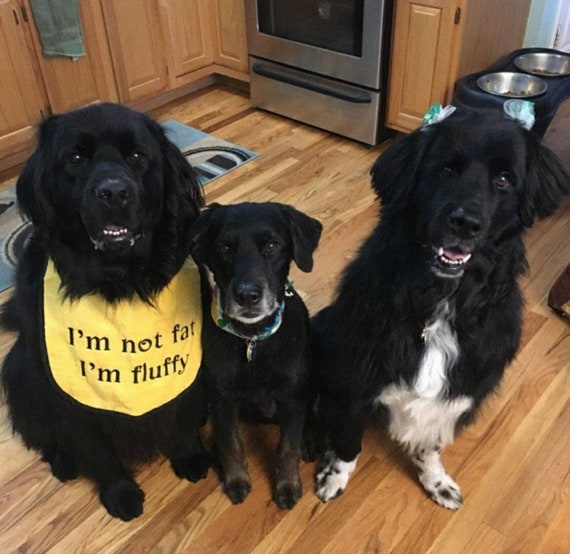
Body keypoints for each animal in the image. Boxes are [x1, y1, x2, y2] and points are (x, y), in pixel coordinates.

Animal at [1, 102, 210, 516]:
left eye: (137, 156)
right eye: (76, 158)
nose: (113, 192)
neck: (119, 283)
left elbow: (181, 417)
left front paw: (189, 456)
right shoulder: (70, 393)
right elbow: (98, 449)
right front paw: (119, 492)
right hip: (19, 370)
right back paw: (63, 460)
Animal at [191, 202, 322, 508]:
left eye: (272, 245)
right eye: (224, 247)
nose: (247, 296)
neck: (252, 340)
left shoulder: (292, 397)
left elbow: (287, 447)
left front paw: (288, 486)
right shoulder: (222, 398)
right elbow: (231, 443)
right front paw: (236, 480)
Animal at [310, 109, 568, 508]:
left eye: (504, 180)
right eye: (445, 170)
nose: (465, 223)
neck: (440, 301)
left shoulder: (459, 393)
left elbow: (429, 446)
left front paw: (436, 481)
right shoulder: (352, 379)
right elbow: (348, 439)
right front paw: (334, 475)